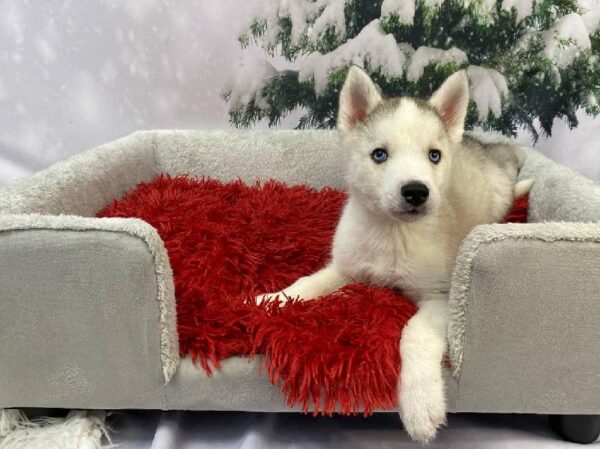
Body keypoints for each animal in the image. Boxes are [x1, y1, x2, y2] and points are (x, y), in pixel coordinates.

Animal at [256, 65, 528, 440]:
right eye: (379, 154)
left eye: (434, 155)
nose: (416, 191)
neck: (392, 235)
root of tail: (483, 148)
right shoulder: (346, 266)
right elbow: (307, 283)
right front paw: (268, 299)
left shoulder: (440, 296)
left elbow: (414, 334)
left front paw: (420, 406)